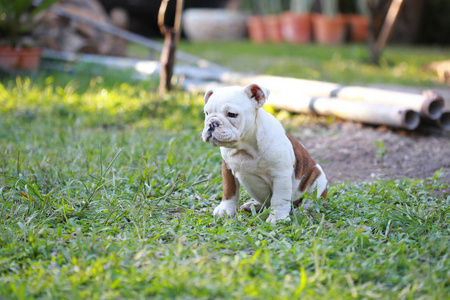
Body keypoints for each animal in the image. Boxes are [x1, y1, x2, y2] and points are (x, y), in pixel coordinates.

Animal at [201, 83, 326, 224]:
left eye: (232, 114)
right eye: (207, 113)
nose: (212, 123)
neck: (245, 147)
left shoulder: (281, 176)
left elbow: (279, 199)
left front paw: (277, 218)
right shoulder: (227, 169)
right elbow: (229, 190)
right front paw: (226, 209)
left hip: (317, 181)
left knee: (309, 203)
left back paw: (301, 213)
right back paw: (254, 206)